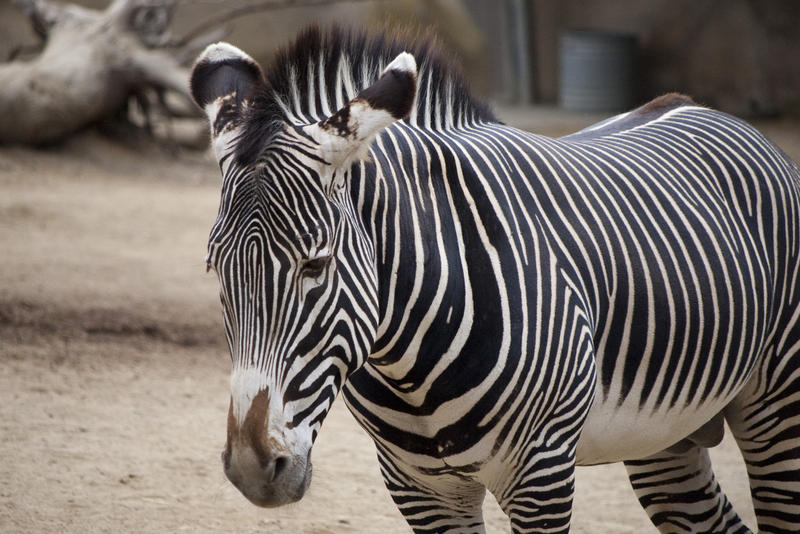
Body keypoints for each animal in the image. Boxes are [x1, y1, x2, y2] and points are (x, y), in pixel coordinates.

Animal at [189, 27, 800, 532]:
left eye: (315, 265)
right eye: (215, 269)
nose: (252, 469)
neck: (407, 365)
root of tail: (710, 112)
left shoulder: (541, 473)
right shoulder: (420, 488)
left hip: (779, 407)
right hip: (666, 436)